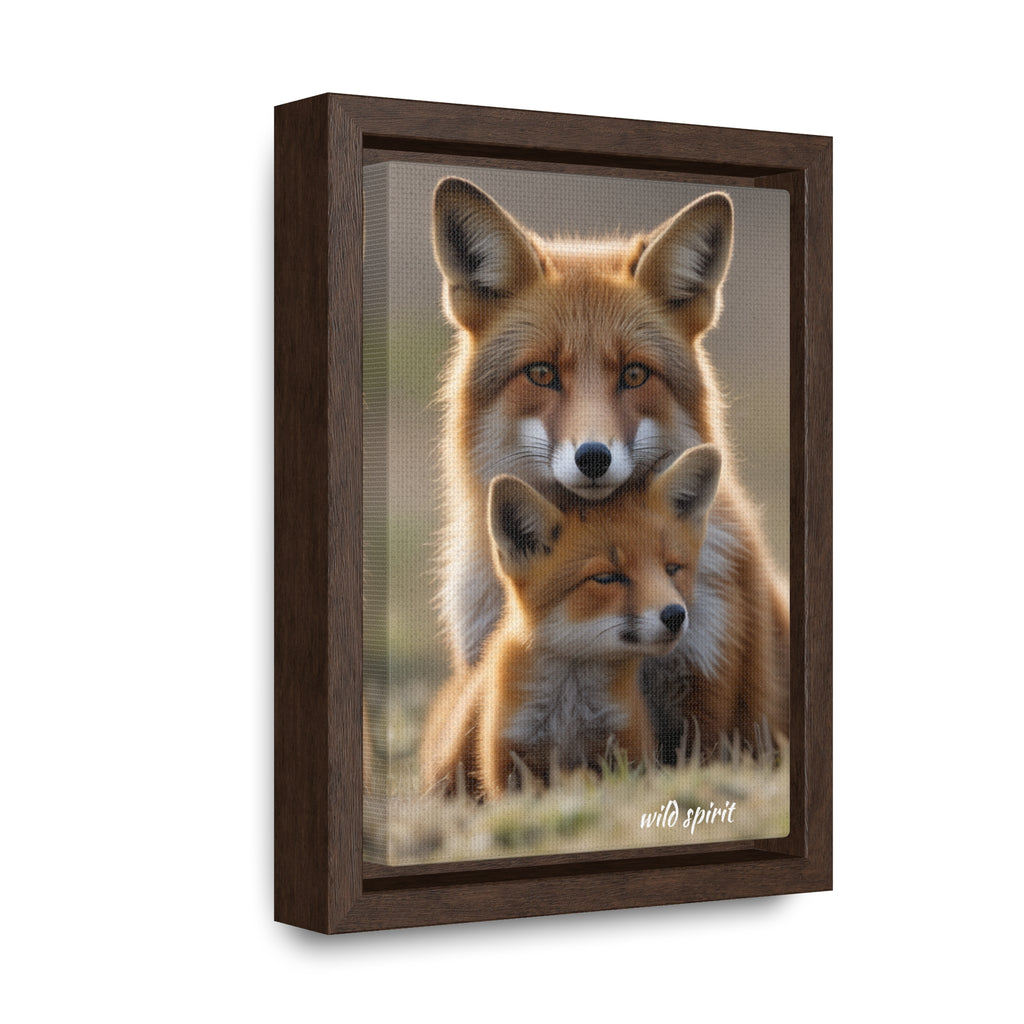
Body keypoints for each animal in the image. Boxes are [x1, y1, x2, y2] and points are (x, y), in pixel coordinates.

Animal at [421, 445, 722, 800]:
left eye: (672, 569)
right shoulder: (508, 762)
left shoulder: (627, 748)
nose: (675, 615)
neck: (569, 714)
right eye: (606, 578)